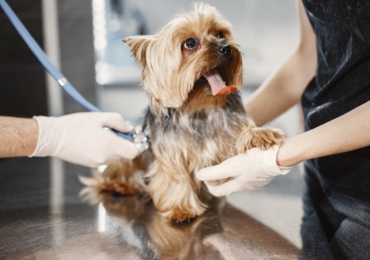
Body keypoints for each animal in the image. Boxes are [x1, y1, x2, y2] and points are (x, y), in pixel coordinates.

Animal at [81, 3, 284, 224]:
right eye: (190, 43)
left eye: (220, 34)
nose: (225, 47)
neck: (200, 110)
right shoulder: (171, 154)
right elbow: (175, 178)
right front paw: (181, 209)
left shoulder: (228, 137)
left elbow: (241, 134)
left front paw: (259, 134)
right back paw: (119, 185)